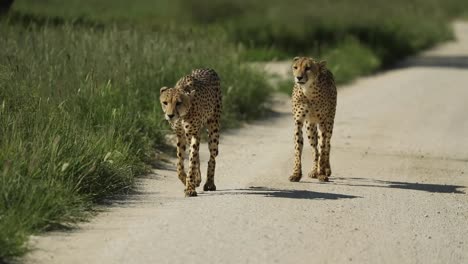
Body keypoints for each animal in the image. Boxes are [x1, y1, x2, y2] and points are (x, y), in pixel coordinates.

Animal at [160, 68, 222, 196]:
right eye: (165, 102)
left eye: (178, 103)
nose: (170, 115)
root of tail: (209, 69)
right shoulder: (180, 135)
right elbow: (180, 162)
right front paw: (185, 180)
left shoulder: (194, 133)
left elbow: (192, 160)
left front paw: (190, 187)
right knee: (198, 156)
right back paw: (198, 179)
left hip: (213, 128)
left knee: (212, 158)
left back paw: (209, 183)